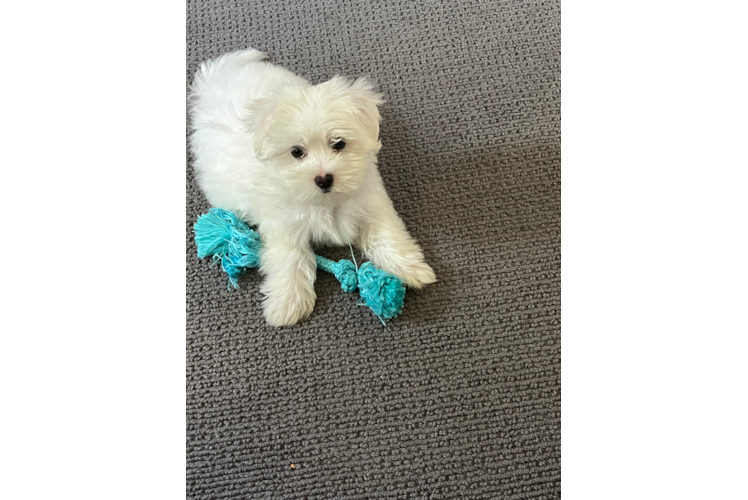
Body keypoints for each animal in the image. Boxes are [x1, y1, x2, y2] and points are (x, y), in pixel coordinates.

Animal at [190, 48, 436, 326]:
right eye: (296, 152)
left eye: (339, 143)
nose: (324, 178)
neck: (326, 201)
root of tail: (219, 74)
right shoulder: (284, 226)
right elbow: (290, 258)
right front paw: (288, 303)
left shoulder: (372, 203)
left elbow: (386, 235)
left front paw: (411, 268)